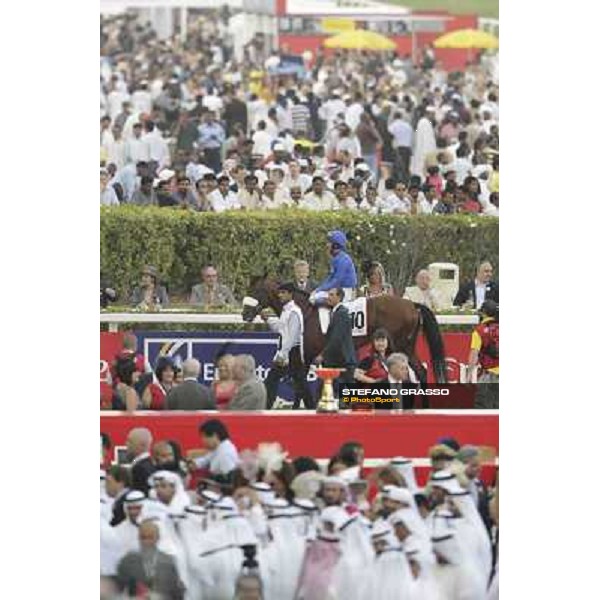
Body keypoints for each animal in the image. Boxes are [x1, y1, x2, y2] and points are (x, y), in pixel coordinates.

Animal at [240, 276, 446, 384]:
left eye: (256, 291)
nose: (244, 314)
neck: (305, 311)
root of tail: (412, 304)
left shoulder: (308, 356)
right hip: (407, 347)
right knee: (421, 371)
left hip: (400, 345)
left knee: (417, 371)